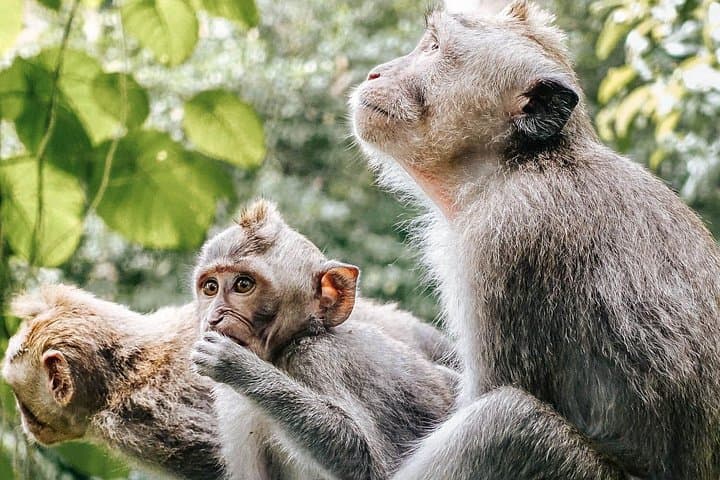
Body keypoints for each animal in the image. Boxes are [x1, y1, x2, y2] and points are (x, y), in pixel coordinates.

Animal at [190, 199, 458, 480]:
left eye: (243, 284)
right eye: (211, 287)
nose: (213, 317)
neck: (287, 347)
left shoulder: (317, 358)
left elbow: (370, 464)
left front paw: (238, 365)